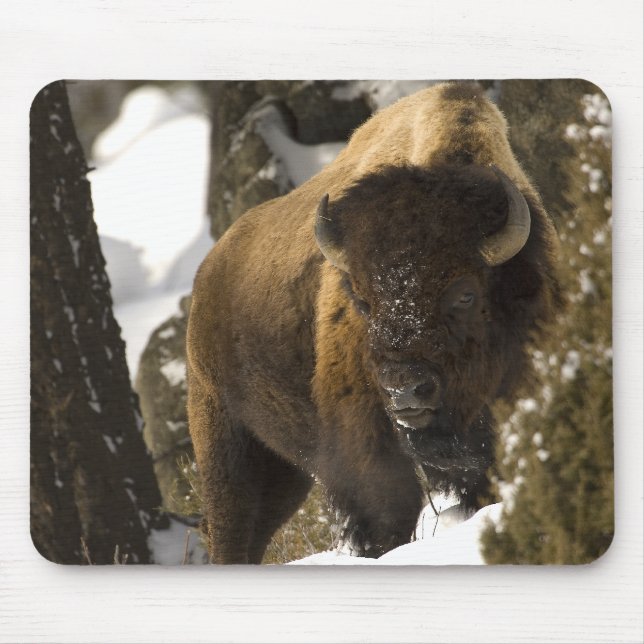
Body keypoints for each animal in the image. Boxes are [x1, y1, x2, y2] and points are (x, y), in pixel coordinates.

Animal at [186, 82, 561, 563]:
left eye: (465, 294)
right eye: (362, 302)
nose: (405, 389)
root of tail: (207, 274)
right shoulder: (365, 438)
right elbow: (386, 511)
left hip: (285, 470)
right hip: (227, 442)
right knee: (232, 526)